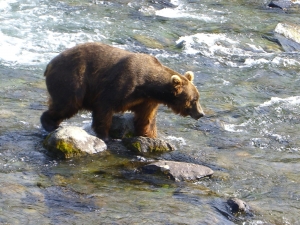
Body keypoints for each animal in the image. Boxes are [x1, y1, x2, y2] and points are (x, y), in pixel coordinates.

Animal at [40, 42, 204, 141]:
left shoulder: (147, 101)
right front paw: (105, 135)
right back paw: (50, 123)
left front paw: (150, 135)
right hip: (72, 79)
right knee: (68, 103)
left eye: (197, 97)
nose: (201, 113)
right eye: (194, 100)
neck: (148, 86)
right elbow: (104, 107)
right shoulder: (123, 84)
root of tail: (50, 63)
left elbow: (146, 119)